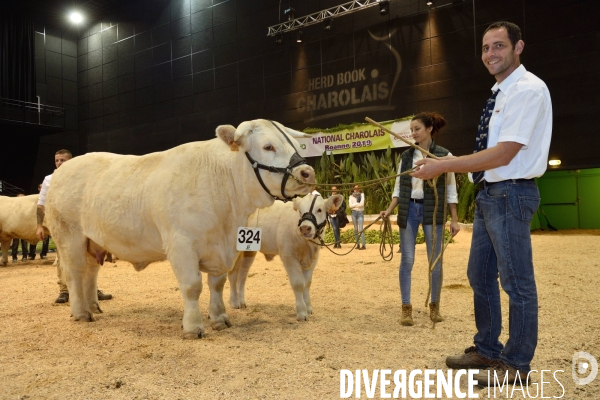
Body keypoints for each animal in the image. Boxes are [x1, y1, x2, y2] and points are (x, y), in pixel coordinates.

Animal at [45, 119, 316, 338]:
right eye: (268, 146)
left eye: (296, 145)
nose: (308, 172)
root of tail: (62, 170)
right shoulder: (181, 243)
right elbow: (192, 286)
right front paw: (193, 327)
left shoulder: (221, 247)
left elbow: (217, 284)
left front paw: (219, 318)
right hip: (69, 236)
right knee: (74, 273)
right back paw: (81, 312)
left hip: (94, 240)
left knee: (91, 272)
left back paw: (93, 306)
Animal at [230, 194, 342, 322]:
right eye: (300, 211)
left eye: (319, 209)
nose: (305, 228)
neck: (307, 245)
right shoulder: (289, 256)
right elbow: (298, 283)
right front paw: (302, 312)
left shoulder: (313, 259)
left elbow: (307, 284)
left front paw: (308, 308)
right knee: (233, 274)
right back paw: (234, 302)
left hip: (249, 251)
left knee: (243, 274)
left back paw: (242, 301)